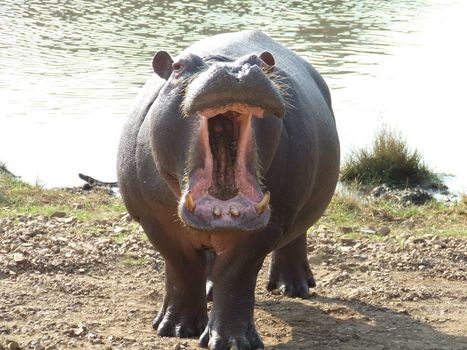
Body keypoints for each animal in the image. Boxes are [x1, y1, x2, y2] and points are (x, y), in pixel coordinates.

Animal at [118, 30, 340, 350]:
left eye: (261, 63)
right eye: (178, 67)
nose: (235, 71)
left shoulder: (268, 228)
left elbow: (236, 275)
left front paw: (233, 342)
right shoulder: (154, 221)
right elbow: (182, 266)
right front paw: (174, 329)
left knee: (296, 237)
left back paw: (294, 288)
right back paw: (210, 293)